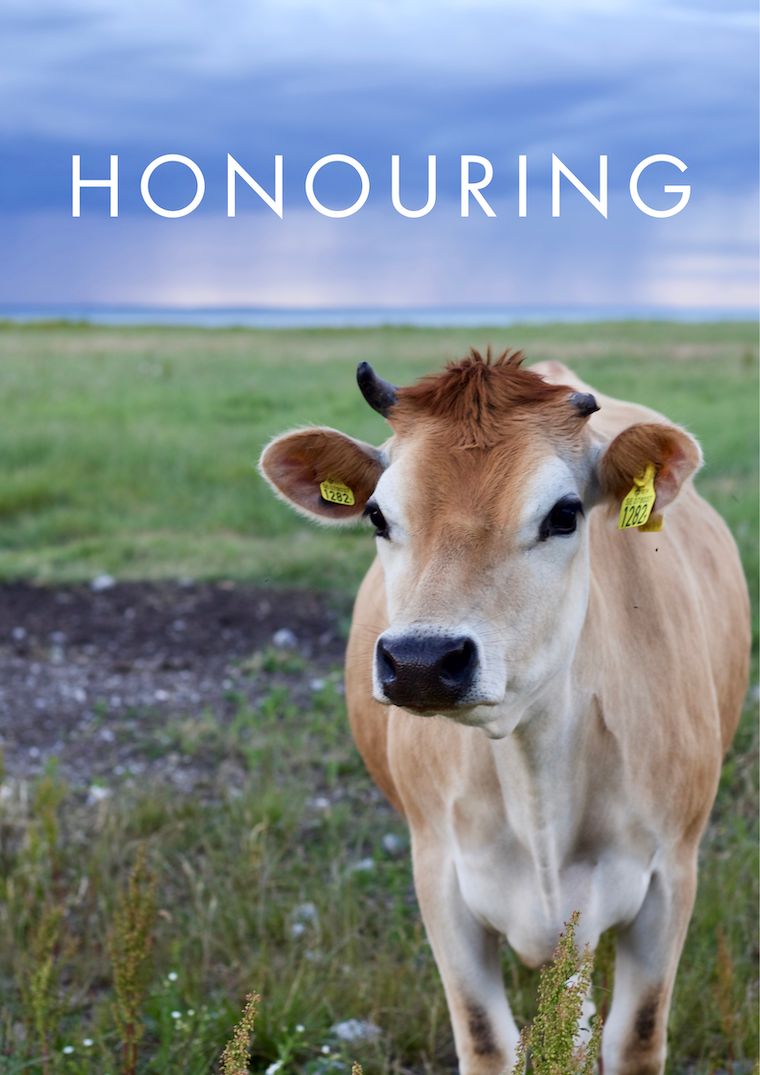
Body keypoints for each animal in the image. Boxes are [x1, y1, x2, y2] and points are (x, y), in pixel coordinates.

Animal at [259, 350, 750, 1075]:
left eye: (565, 513)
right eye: (377, 515)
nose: (421, 660)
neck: (535, 768)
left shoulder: (671, 875)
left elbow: (634, 1036)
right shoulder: (439, 873)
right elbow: (487, 1039)